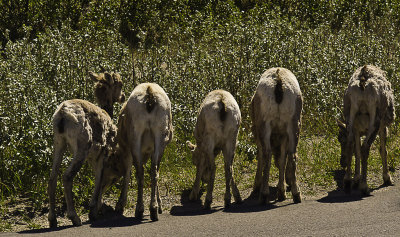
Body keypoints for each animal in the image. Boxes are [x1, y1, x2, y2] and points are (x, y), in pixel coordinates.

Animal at [48, 71, 126, 227]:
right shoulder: (103, 156)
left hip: (59, 144)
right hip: (81, 150)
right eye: (119, 84)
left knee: (53, 177)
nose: (123, 97)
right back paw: (75, 218)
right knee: (67, 176)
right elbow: (99, 180)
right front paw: (93, 213)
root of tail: (63, 114)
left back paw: (52, 220)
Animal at [115, 82, 173, 221]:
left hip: (135, 139)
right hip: (160, 137)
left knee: (140, 173)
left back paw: (140, 210)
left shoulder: (127, 152)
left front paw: (120, 205)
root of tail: (149, 92)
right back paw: (154, 210)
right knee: (154, 172)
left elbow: (127, 174)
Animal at [252, 67, 302, 205]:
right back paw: (296, 195)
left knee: (266, 155)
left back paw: (263, 195)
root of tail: (279, 79)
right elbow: (282, 160)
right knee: (292, 155)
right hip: (293, 125)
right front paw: (282, 192)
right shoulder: (284, 135)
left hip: (265, 125)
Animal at [338, 65, 394, 194]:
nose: (342, 162)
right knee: (365, 148)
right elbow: (383, 150)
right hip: (375, 119)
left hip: (350, 114)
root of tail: (362, 83)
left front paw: (355, 179)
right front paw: (387, 178)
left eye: (340, 139)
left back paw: (347, 181)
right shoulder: (383, 126)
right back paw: (364, 186)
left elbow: (356, 151)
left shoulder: (356, 129)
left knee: (352, 145)